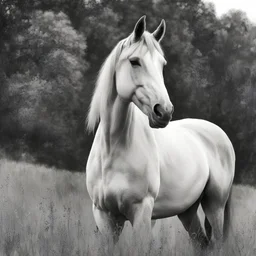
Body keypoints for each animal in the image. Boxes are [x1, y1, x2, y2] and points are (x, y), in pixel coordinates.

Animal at [86, 16, 236, 252]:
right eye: (135, 61)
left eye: (162, 64)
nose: (164, 111)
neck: (113, 149)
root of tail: (220, 135)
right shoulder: (105, 216)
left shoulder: (142, 213)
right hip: (188, 211)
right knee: (201, 243)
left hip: (215, 206)